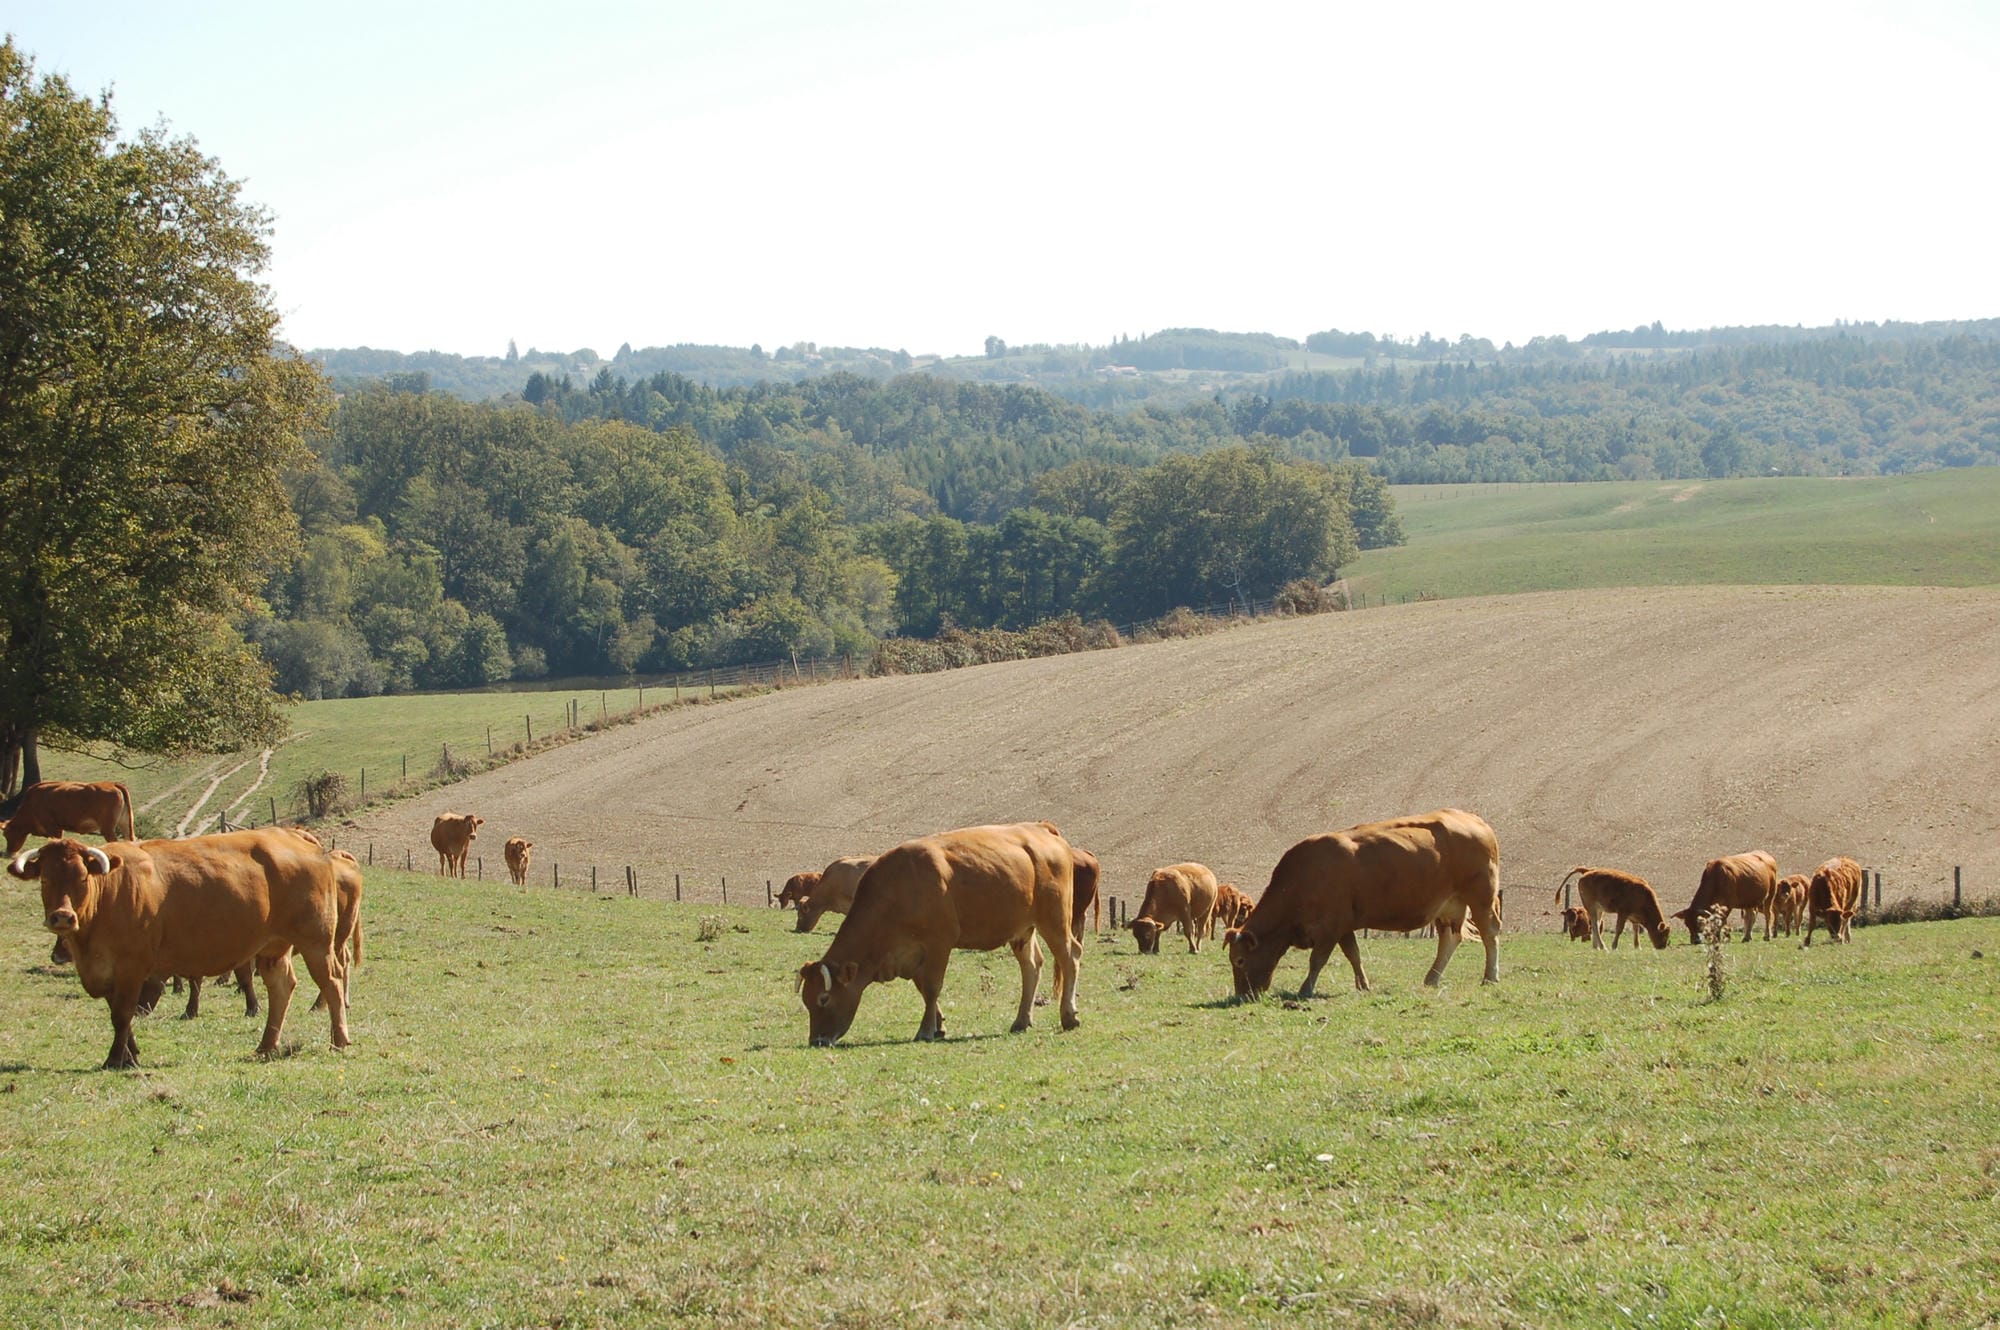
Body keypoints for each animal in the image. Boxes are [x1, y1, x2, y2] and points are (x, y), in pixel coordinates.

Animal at [2, 780, 137, 856]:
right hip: (125, 824)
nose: (9, 852)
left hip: (107, 828)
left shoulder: (54, 828)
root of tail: (112, 784)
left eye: (6, 834)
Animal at [9, 831, 349, 1069]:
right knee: (281, 988)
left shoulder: (132, 967)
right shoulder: (106, 972)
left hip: (316, 942)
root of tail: (292, 835)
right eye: (45, 880)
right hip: (272, 948)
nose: (62, 917)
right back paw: (266, 1045)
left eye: (82, 878)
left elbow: (122, 1014)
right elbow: (120, 1015)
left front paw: (114, 1059)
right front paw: (131, 1054)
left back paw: (339, 1039)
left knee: (332, 983)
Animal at [796, 821, 1081, 1046]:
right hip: (1022, 930)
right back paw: (1021, 1020)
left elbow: (932, 987)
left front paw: (925, 1030)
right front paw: (938, 1024)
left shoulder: (939, 944)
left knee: (1070, 957)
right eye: (806, 1000)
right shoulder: (910, 955)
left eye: (824, 998)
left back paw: (1068, 1015)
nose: (817, 1041)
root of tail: (1040, 828)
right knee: (1031, 966)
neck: (899, 889)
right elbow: (923, 988)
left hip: (1054, 920)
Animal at [1224, 809, 1501, 1000]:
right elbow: (1353, 955)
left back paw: (1490, 976)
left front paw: (1306, 988)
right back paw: (1432, 978)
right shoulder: (1344, 927)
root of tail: (1474, 820)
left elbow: (1318, 960)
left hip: (1481, 898)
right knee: (1450, 938)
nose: (1241, 995)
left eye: (1240, 960)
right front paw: (1364, 985)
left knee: (1490, 934)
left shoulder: (1331, 928)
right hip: (1449, 905)